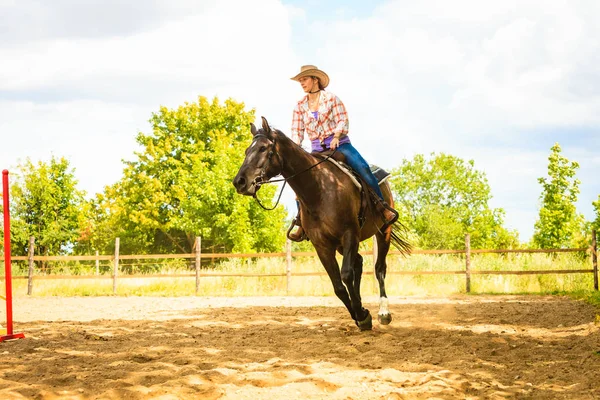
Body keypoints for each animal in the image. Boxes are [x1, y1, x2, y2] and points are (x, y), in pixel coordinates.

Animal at [232, 117, 410, 330]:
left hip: (383, 231)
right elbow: (338, 286)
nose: (240, 181)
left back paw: (384, 312)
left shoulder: (350, 234)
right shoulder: (322, 246)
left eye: (263, 148)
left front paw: (362, 315)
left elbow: (346, 274)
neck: (319, 189)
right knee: (358, 263)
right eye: (246, 151)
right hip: (342, 244)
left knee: (379, 267)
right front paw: (360, 315)